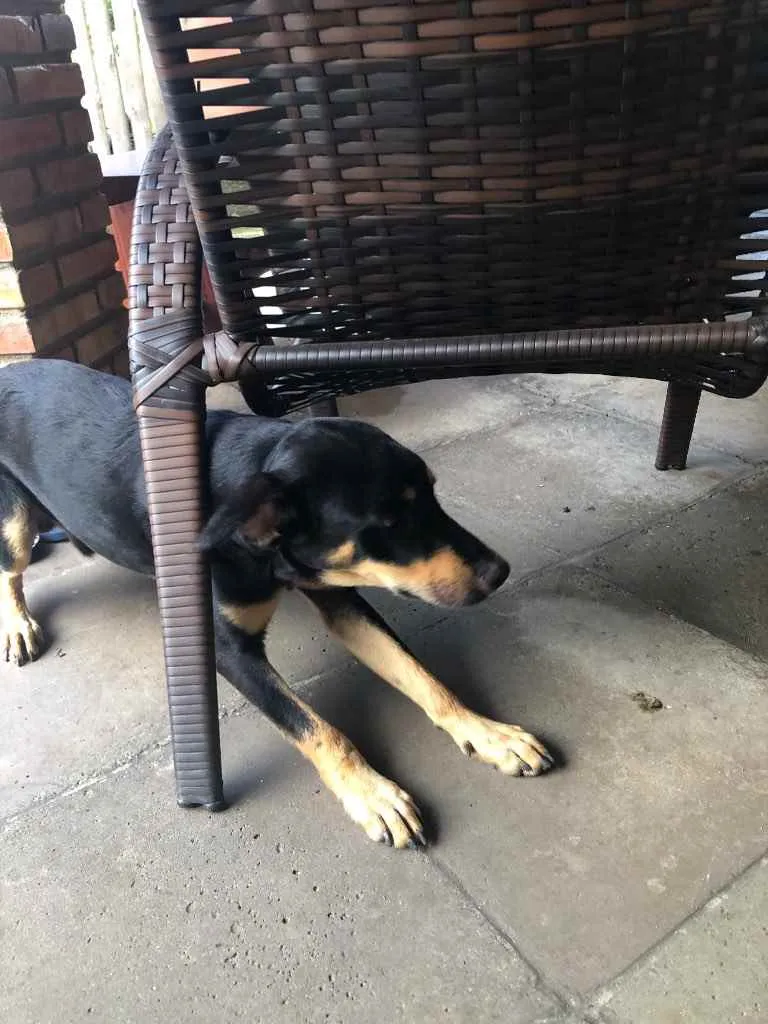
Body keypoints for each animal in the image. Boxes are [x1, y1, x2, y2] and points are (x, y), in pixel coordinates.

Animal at [0, 360, 552, 847]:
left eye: (434, 495)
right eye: (389, 524)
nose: (499, 572)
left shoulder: (339, 598)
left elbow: (421, 676)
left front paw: (487, 733)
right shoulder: (229, 652)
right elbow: (315, 727)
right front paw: (373, 795)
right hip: (14, 521)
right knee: (12, 570)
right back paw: (19, 627)